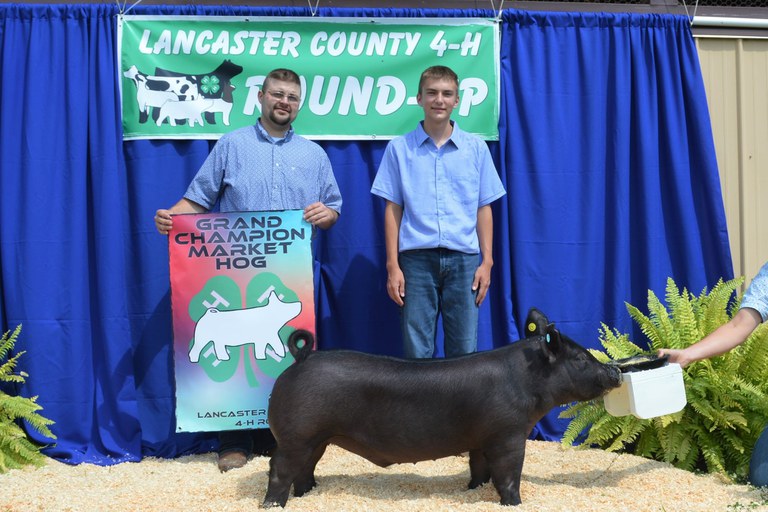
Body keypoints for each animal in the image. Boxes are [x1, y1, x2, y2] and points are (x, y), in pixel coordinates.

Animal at [260, 308, 620, 508]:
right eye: (579, 358)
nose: (615, 371)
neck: (527, 379)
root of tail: (302, 358)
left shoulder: (481, 438)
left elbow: (479, 468)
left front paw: (474, 490)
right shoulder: (508, 433)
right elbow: (509, 473)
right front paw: (515, 503)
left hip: (317, 439)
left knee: (306, 468)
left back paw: (309, 493)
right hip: (296, 435)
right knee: (280, 469)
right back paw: (273, 505)